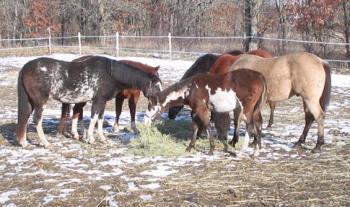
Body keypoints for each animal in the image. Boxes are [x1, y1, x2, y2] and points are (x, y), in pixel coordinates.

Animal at [17, 55, 162, 148]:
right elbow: (94, 118)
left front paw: (102, 138)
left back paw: (23, 142)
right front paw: (91, 139)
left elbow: (100, 119)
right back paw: (45, 143)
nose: (157, 107)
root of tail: (25, 68)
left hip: (30, 102)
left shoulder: (103, 102)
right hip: (39, 102)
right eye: (156, 86)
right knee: (37, 119)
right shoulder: (98, 101)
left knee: (25, 117)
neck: (110, 74)